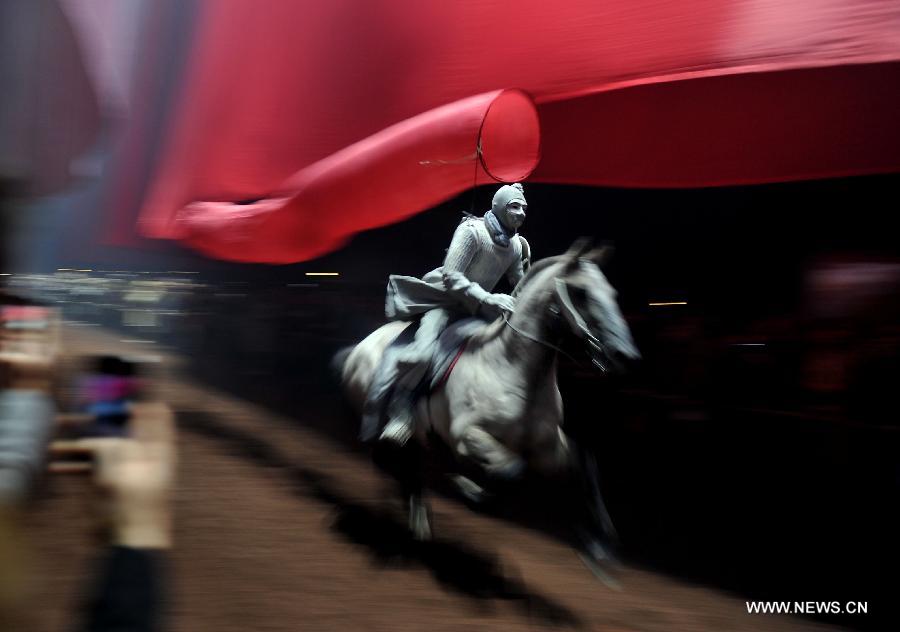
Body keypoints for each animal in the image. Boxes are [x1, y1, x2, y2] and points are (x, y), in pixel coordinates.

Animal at [336, 241, 640, 568]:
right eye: (581, 292)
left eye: (613, 293)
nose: (626, 356)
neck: (510, 369)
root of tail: (358, 348)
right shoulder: (467, 438)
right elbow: (512, 470)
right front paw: (466, 488)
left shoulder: (548, 450)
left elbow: (585, 465)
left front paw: (600, 548)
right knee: (390, 464)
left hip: (416, 441)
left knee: (410, 472)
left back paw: (419, 526)